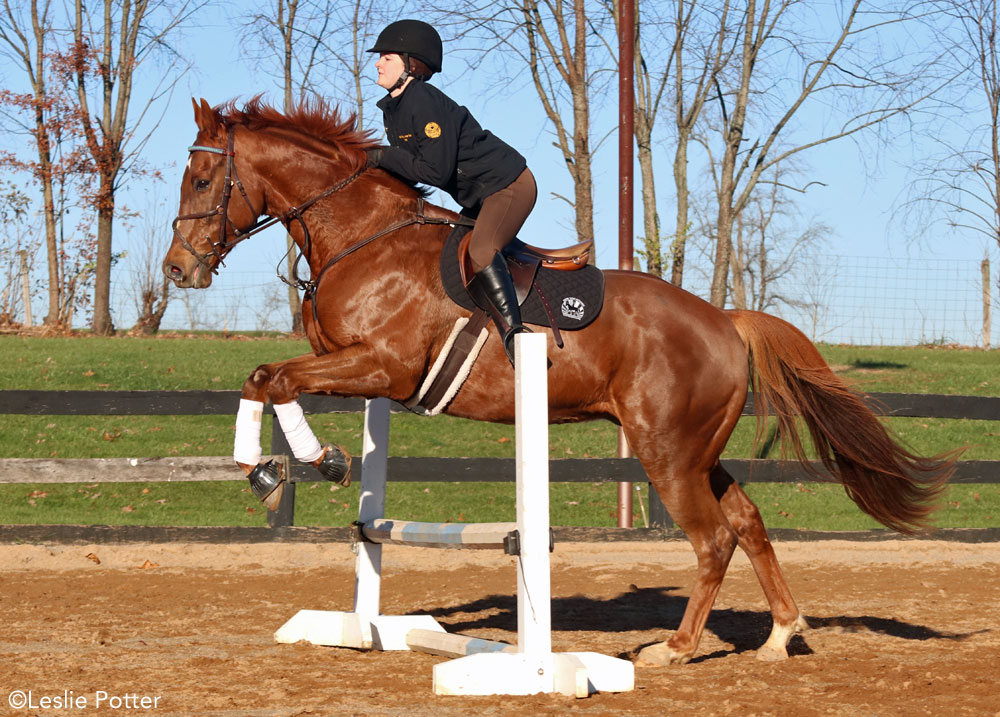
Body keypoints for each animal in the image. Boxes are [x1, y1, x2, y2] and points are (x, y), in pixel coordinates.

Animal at [166, 98, 960, 664]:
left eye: (203, 180)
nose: (178, 269)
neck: (362, 235)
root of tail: (726, 321)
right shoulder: (358, 371)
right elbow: (266, 376)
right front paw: (275, 468)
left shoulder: (384, 367)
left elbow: (275, 380)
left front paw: (305, 464)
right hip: (693, 449)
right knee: (746, 521)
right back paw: (779, 635)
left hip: (666, 451)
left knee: (711, 539)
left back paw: (674, 649)